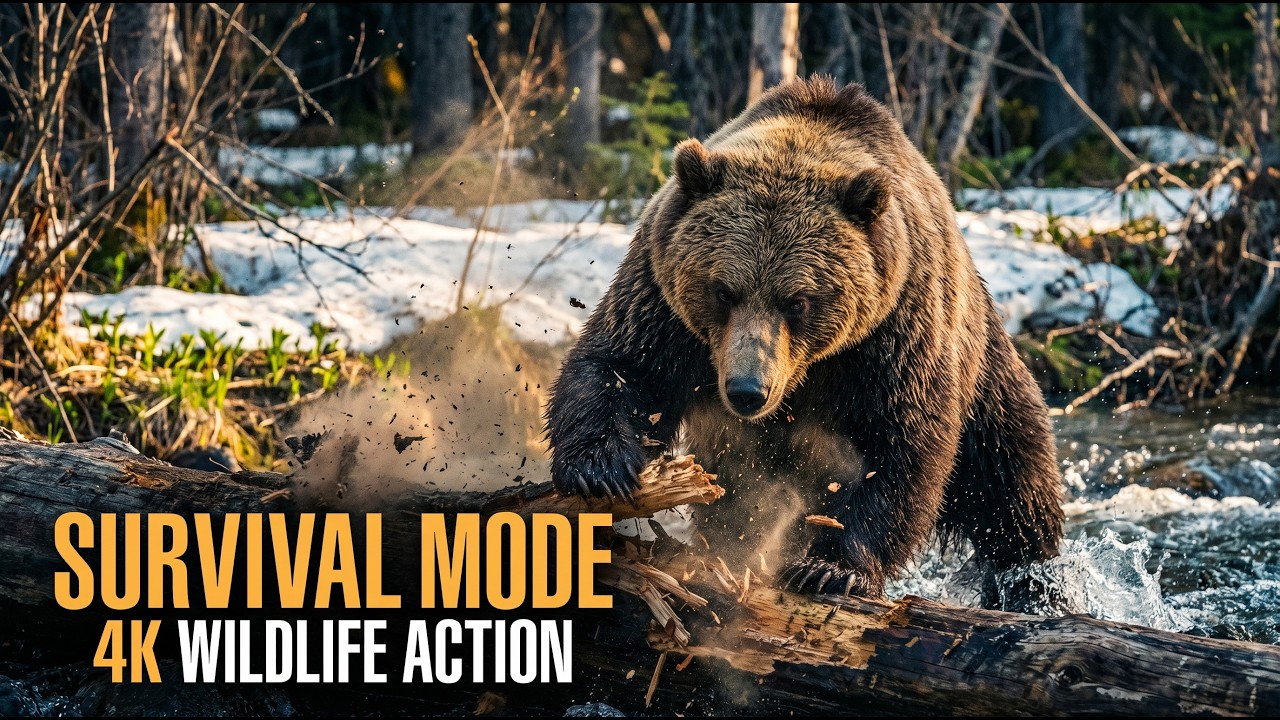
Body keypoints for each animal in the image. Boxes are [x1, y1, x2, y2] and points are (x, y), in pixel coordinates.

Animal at [545, 76, 1064, 609]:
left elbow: (903, 446)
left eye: (797, 300)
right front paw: (602, 466)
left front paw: (831, 568)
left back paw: (1035, 585)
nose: (747, 391)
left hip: (983, 372)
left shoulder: (895, 334)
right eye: (722, 290)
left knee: (1011, 483)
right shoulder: (663, 302)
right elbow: (622, 365)